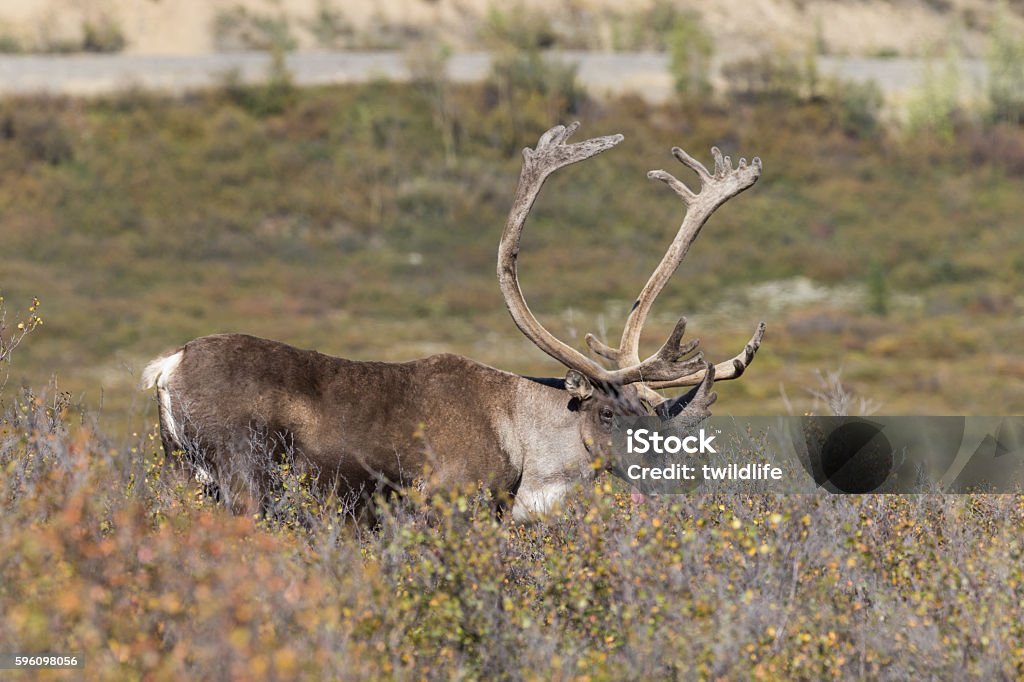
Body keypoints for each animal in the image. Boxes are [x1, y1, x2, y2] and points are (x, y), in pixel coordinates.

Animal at [142, 122, 761, 518]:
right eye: (608, 413)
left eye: (655, 420)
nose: (673, 477)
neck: (526, 443)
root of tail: (167, 366)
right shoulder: (447, 501)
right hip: (241, 475)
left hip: (180, 475)